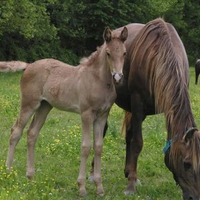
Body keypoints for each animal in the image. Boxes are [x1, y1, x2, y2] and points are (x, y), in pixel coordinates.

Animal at [0, 26, 128, 197]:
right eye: (108, 53)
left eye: (124, 53)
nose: (118, 77)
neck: (98, 80)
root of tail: (29, 65)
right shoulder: (86, 114)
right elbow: (86, 147)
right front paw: (82, 187)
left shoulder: (102, 116)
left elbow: (99, 147)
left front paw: (100, 188)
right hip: (29, 104)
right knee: (16, 131)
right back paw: (8, 171)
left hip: (45, 106)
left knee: (32, 134)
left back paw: (30, 176)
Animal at [99, 18, 199, 199]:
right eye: (187, 164)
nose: (194, 197)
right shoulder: (138, 104)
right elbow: (138, 142)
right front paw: (131, 185)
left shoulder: (168, 110)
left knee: (129, 134)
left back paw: (128, 171)